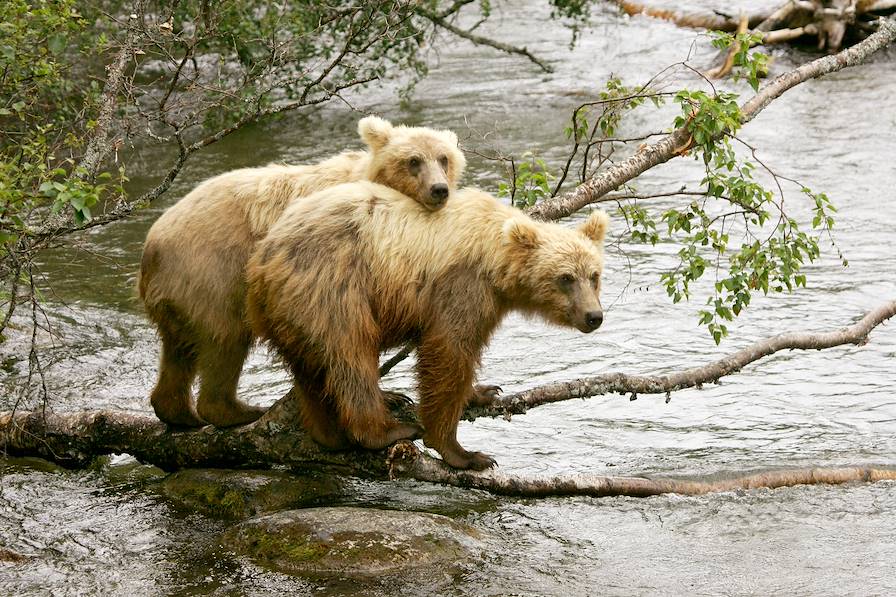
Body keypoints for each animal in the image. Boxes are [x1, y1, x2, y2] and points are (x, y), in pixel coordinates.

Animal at [138, 114, 468, 426]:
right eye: (413, 161)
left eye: (444, 158)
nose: (439, 189)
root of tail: (150, 247)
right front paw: (390, 394)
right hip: (212, 273)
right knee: (226, 338)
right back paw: (238, 410)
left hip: (179, 296)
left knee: (179, 350)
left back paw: (179, 414)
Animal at [245, 182, 608, 470]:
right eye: (565, 278)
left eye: (594, 275)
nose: (594, 316)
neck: (493, 259)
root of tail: (261, 260)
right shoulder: (461, 285)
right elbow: (448, 351)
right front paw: (463, 452)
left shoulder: (487, 301)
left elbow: (464, 354)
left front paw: (483, 391)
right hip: (331, 285)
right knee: (350, 355)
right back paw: (384, 429)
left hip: (289, 312)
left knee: (309, 369)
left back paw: (329, 432)